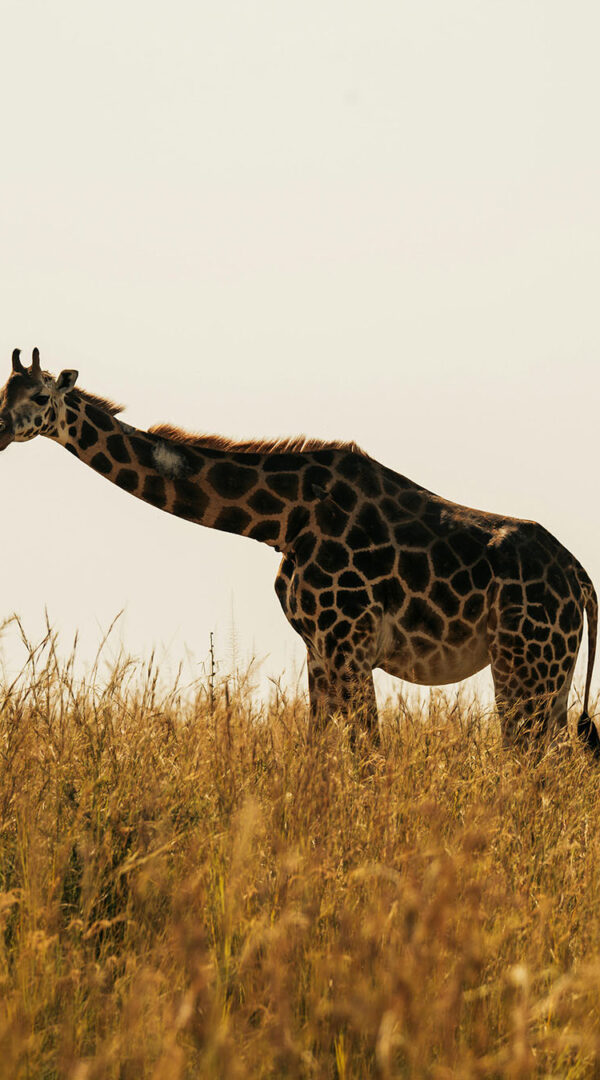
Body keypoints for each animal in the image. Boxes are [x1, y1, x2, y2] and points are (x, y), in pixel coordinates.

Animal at [0, 347, 597, 752]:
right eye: (4, 390)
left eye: (42, 397)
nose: (2, 429)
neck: (280, 519)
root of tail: (581, 579)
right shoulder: (318, 649)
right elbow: (318, 752)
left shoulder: (348, 645)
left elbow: (368, 755)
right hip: (554, 674)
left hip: (524, 665)